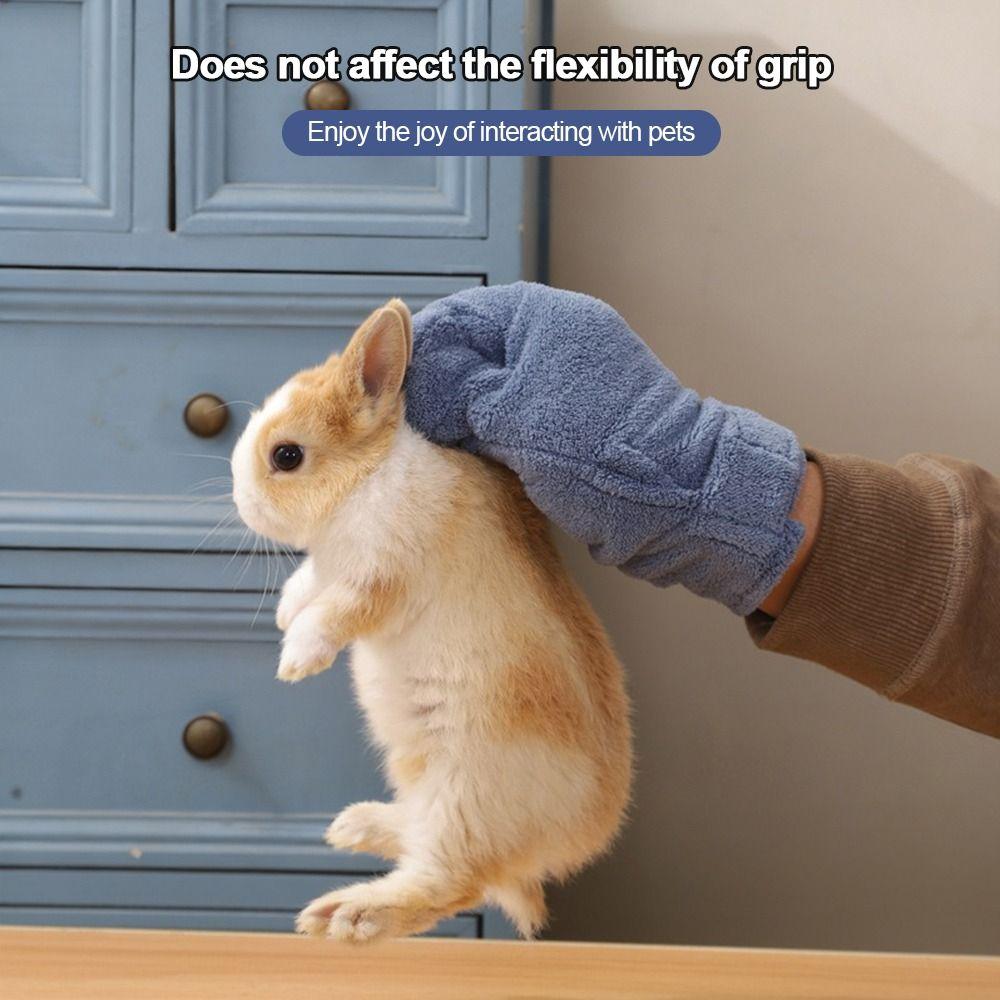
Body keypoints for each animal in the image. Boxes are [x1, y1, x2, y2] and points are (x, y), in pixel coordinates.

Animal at [231, 299, 632, 941]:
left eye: (286, 456)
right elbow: (310, 583)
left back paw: (349, 914)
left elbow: (337, 613)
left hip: (463, 796)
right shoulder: (331, 566)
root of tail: (552, 852)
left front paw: (295, 659)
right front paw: (286, 612)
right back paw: (352, 827)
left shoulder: (379, 577)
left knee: (448, 881)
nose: (240, 501)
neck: (365, 482)